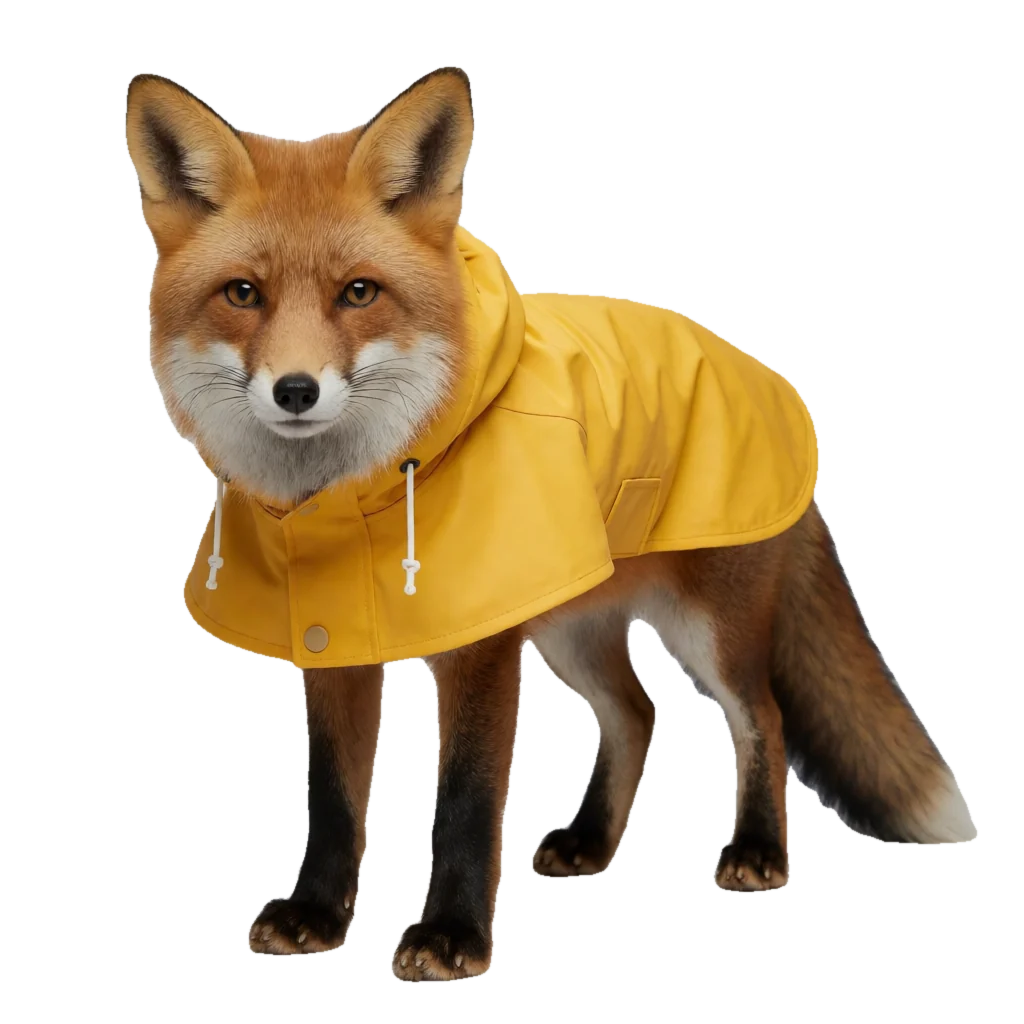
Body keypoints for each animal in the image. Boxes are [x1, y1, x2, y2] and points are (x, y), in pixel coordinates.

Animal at [122, 65, 978, 983]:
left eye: (358, 292)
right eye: (243, 294)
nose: (295, 391)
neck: (349, 499)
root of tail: (766, 380)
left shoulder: (482, 647)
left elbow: (463, 800)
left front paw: (453, 938)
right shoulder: (332, 643)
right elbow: (333, 795)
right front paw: (317, 914)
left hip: (707, 628)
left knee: (762, 718)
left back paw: (759, 852)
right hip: (572, 629)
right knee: (638, 712)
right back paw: (593, 844)